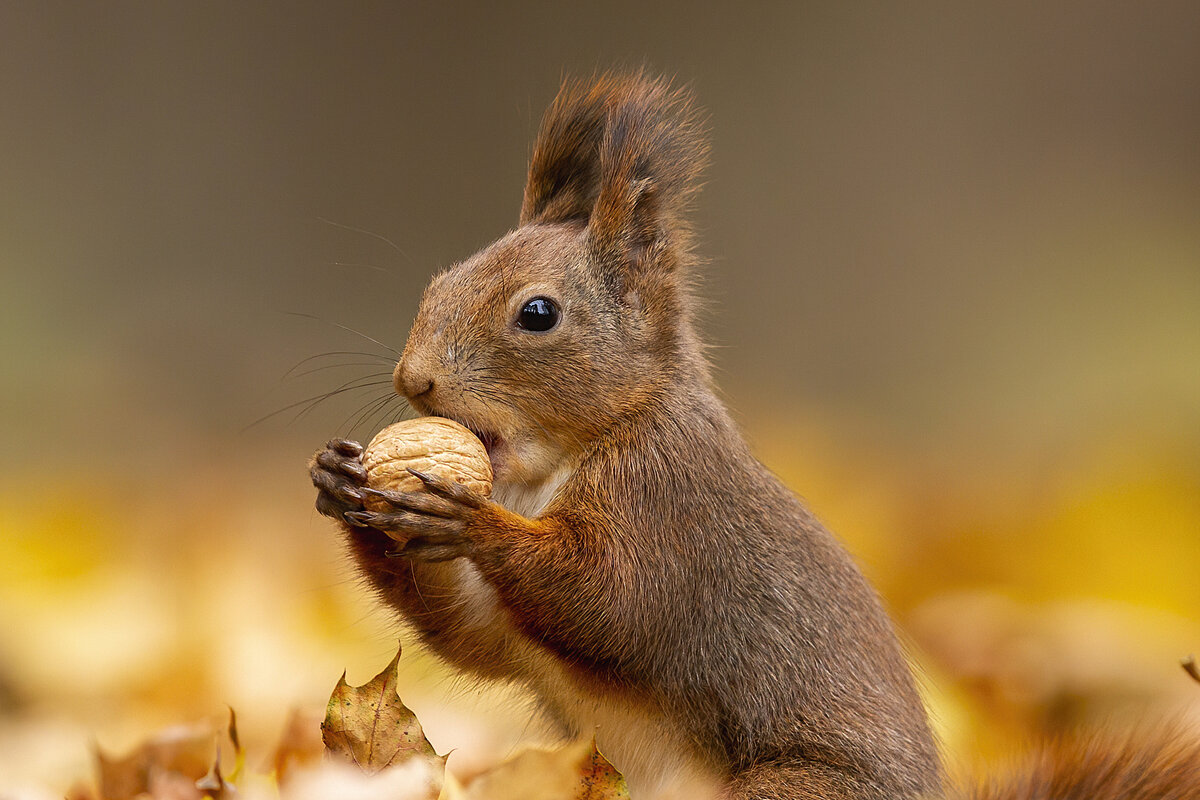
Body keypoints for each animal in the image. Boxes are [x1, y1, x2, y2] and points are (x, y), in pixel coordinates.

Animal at [312, 71, 1200, 796]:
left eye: (538, 314)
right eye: (439, 282)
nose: (413, 380)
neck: (563, 460)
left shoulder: (670, 504)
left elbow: (610, 600)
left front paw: (466, 517)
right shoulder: (511, 617)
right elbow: (476, 634)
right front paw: (343, 483)